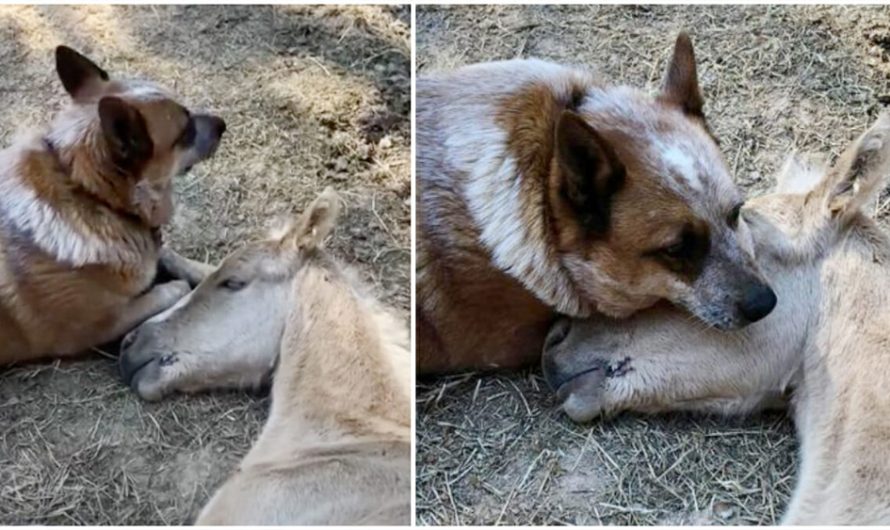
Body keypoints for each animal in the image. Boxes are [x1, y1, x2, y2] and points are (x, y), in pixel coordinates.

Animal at [0, 45, 225, 364]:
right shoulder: (97, 327)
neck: (89, 193)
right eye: (185, 132)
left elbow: (169, 255)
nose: (223, 124)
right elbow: (171, 288)